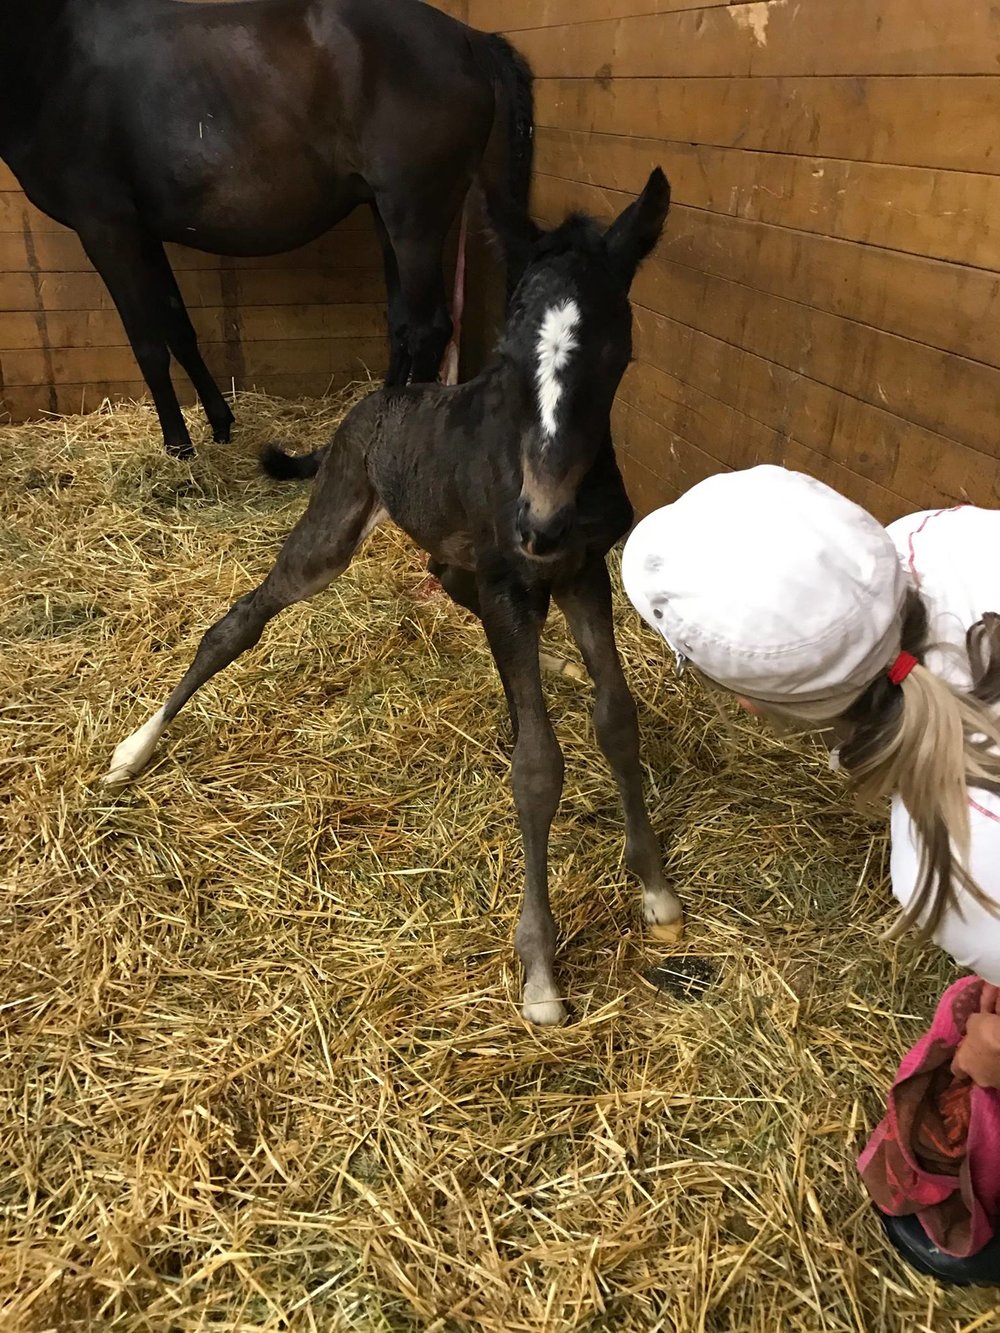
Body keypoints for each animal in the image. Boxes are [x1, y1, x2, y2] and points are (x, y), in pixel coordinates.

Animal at [104, 166, 682, 1018]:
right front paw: (541, 972)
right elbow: (537, 764)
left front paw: (655, 888)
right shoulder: (516, 580)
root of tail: (371, 403)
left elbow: (617, 719)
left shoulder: (580, 573)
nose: (538, 521)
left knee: (446, 580)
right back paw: (134, 748)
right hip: (334, 526)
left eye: (614, 346)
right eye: (508, 350)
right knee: (240, 619)